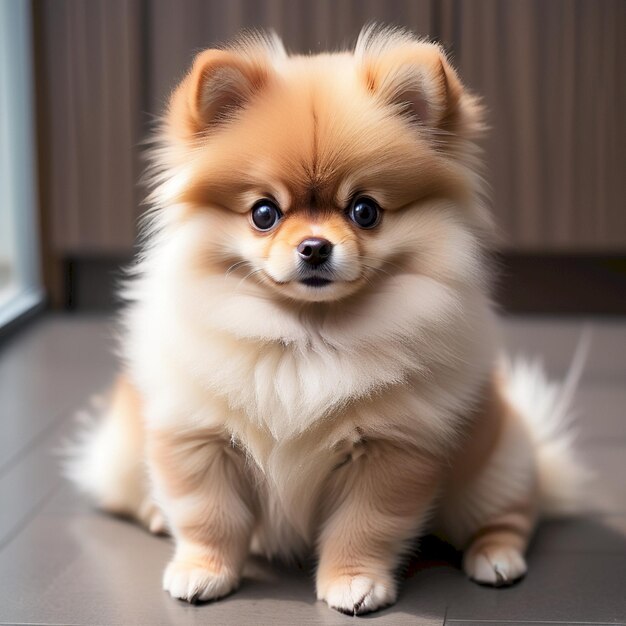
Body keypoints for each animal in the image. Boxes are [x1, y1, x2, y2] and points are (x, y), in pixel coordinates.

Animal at [68, 26, 584, 612]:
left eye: (365, 211)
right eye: (263, 213)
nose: (315, 247)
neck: (307, 338)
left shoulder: (391, 449)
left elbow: (363, 527)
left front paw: (353, 583)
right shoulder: (197, 436)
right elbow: (208, 516)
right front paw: (202, 571)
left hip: (496, 464)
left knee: (513, 514)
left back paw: (495, 557)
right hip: (122, 454)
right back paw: (157, 515)